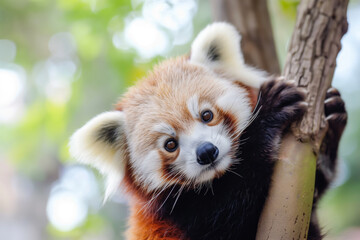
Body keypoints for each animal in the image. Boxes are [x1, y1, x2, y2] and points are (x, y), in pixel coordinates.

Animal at [69, 23, 348, 240]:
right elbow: (231, 209)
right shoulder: (183, 216)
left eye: (206, 115)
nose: (206, 152)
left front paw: (331, 125)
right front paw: (269, 111)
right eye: (170, 144)